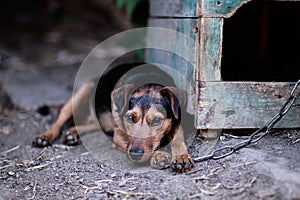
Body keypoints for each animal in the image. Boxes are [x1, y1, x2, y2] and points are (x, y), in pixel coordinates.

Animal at [32, 62, 195, 172]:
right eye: (130, 118)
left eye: (156, 121)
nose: (135, 155)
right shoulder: (120, 137)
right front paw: (159, 155)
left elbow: (178, 139)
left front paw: (180, 157)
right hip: (81, 93)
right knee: (60, 120)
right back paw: (45, 137)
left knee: (97, 123)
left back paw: (73, 132)